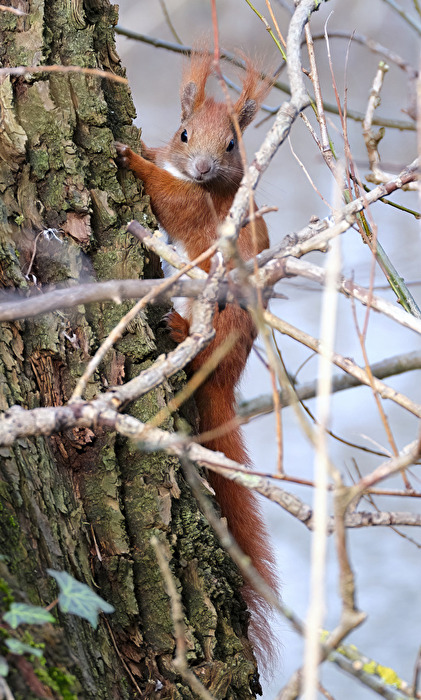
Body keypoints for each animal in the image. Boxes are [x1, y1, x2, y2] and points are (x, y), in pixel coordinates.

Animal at [115, 50, 278, 678]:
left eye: (233, 143)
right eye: (185, 133)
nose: (205, 166)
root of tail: (225, 382)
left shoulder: (196, 209)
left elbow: (167, 195)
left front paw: (132, 158)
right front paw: (146, 147)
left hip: (220, 312)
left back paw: (181, 329)